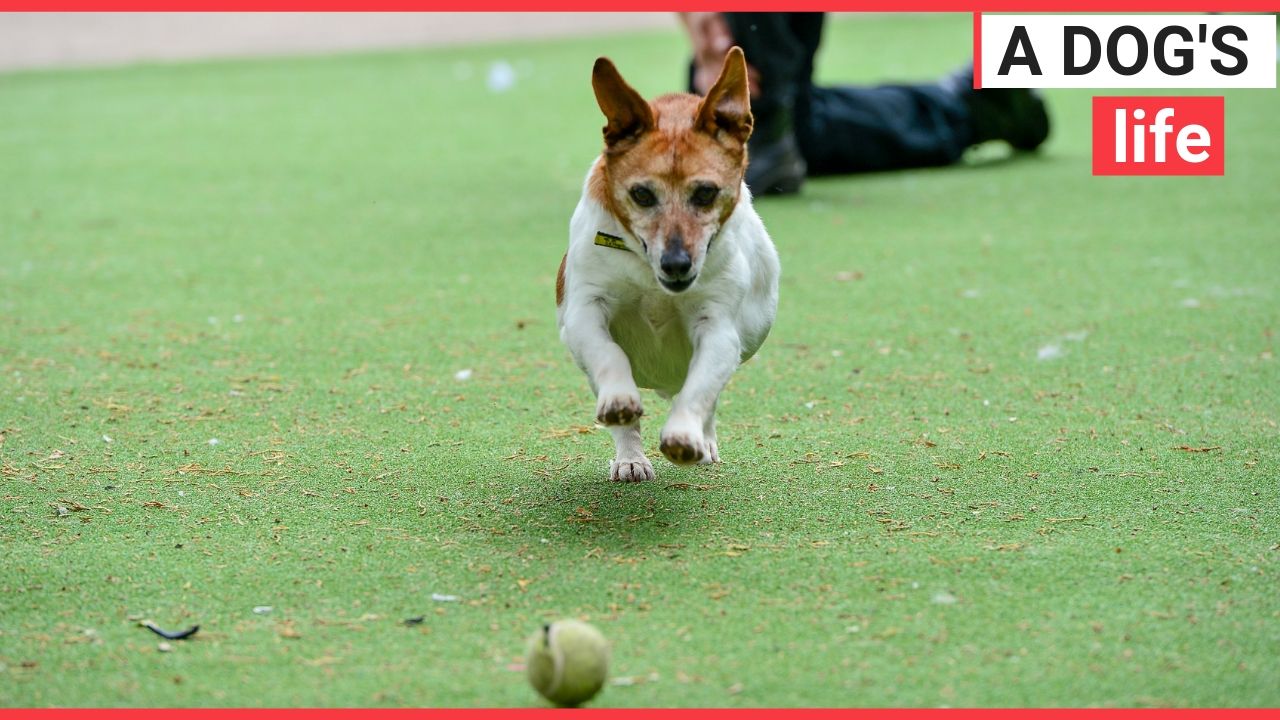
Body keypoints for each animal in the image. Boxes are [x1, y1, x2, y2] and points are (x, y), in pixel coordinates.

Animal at [552, 47, 773, 479]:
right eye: (641, 194)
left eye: (705, 193)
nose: (676, 264)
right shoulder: (585, 310)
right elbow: (610, 355)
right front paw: (620, 403)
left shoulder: (719, 329)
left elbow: (700, 388)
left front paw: (685, 436)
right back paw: (630, 457)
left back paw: (703, 441)